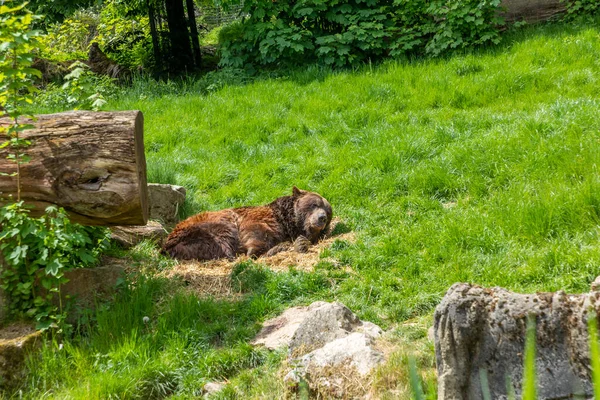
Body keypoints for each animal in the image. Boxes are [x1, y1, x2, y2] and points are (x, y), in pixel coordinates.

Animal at [162, 187, 332, 260]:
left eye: (328, 211)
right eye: (315, 204)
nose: (322, 218)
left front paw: (299, 244)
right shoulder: (259, 219)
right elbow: (256, 234)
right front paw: (255, 251)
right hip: (204, 227)